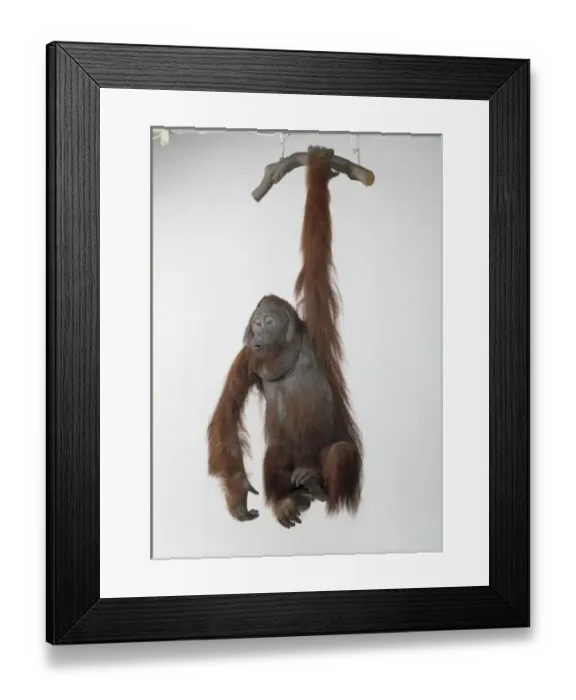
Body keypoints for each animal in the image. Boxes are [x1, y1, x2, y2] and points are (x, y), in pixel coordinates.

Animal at [207, 146, 363, 529]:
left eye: (268, 321)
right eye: (256, 324)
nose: (258, 331)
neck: (283, 351)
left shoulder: (318, 322)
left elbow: (316, 240)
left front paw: (319, 166)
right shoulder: (247, 357)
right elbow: (227, 412)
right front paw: (237, 496)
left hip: (337, 471)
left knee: (341, 452)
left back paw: (322, 491)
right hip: (289, 466)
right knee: (276, 450)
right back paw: (288, 502)